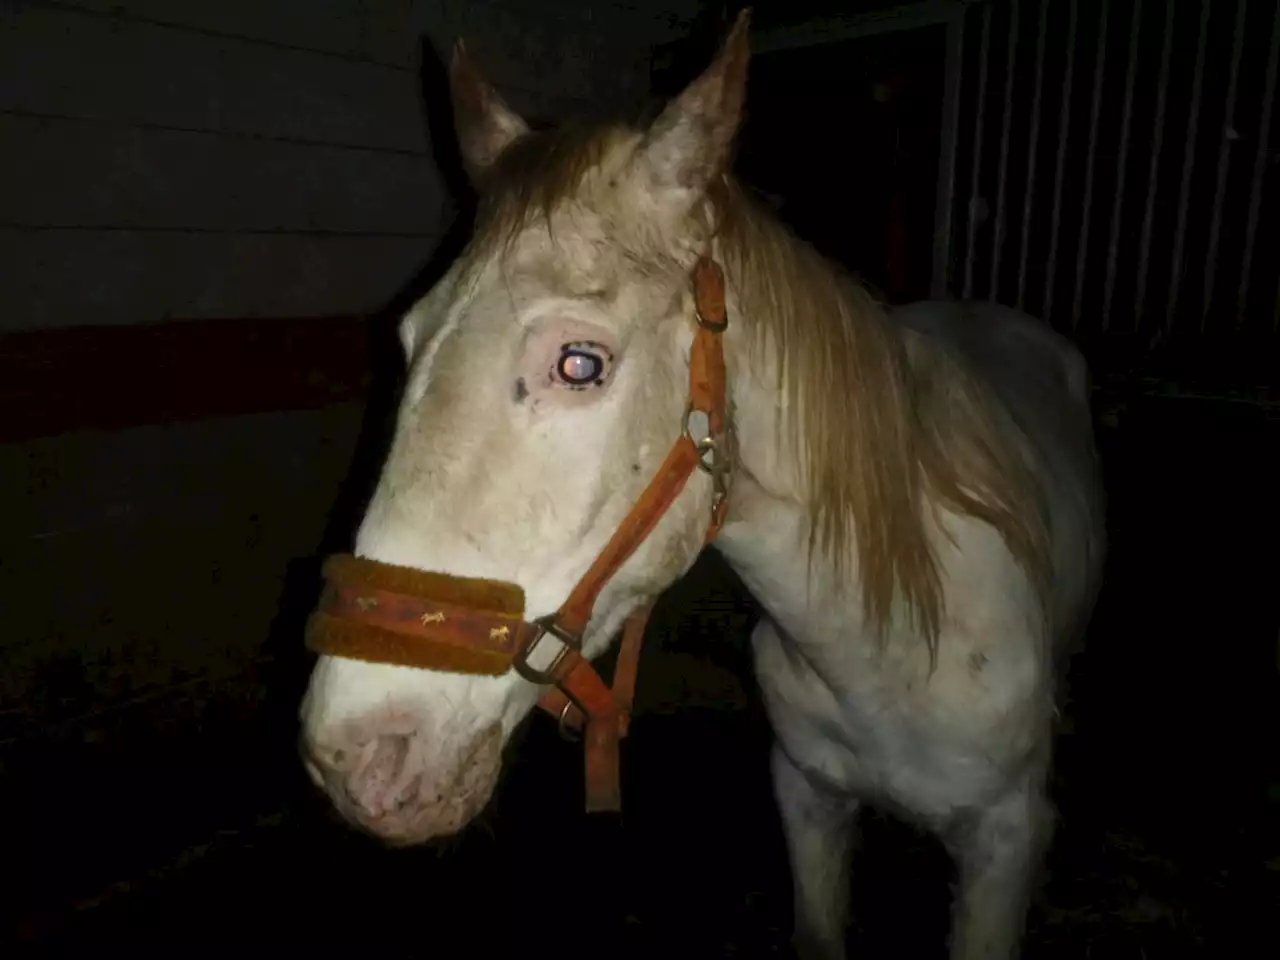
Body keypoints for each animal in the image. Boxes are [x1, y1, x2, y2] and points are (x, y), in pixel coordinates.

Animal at [299, 11, 1111, 957]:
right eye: (407, 343)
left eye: (580, 363)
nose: (353, 753)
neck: (893, 640)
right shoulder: (808, 800)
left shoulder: (1003, 846)